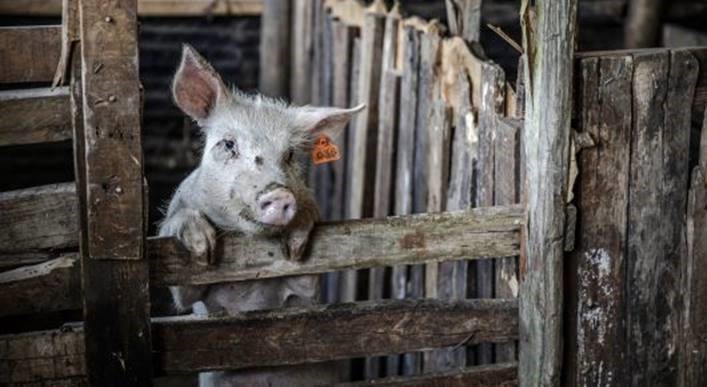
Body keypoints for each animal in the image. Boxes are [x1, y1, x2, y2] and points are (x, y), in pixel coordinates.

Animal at [160, 46, 366, 387]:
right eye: (228, 144)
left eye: (290, 154)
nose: (279, 194)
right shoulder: (187, 289)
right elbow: (183, 290)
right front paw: (202, 246)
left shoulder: (309, 292)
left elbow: (305, 277)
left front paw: (295, 244)